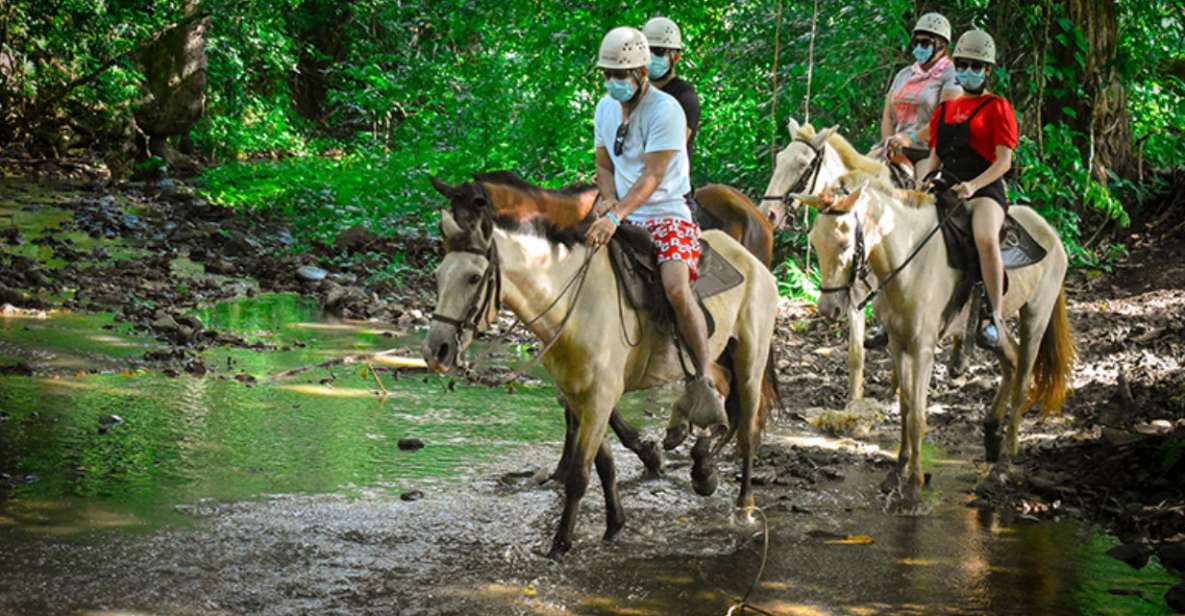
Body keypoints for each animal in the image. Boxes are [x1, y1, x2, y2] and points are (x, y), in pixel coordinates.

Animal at [801, 169, 1080, 504]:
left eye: (844, 244)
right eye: (815, 241)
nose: (829, 309)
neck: (908, 260)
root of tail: (1050, 231)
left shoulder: (923, 348)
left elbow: (917, 416)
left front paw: (914, 484)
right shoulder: (898, 344)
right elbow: (906, 408)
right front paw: (897, 472)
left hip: (1035, 318)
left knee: (1023, 379)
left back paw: (1003, 463)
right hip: (993, 329)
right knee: (1010, 359)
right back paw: (991, 433)